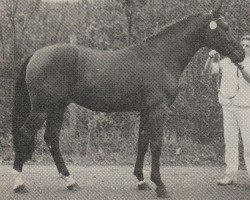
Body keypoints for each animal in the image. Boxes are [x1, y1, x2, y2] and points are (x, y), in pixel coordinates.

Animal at [11, 2, 244, 198]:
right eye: (224, 27)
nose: (241, 54)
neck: (161, 57)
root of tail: (36, 54)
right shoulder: (158, 109)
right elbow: (156, 144)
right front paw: (160, 186)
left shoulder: (146, 110)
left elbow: (142, 142)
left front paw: (142, 181)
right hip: (42, 108)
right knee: (25, 133)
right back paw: (19, 183)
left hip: (58, 108)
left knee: (52, 139)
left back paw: (70, 181)